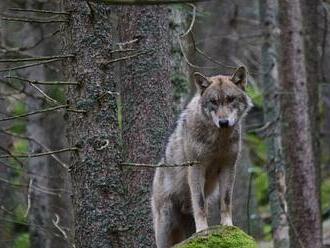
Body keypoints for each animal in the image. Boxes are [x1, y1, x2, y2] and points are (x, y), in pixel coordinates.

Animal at [151, 66, 253, 248]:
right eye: (213, 101)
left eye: (230, 99)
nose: (224, 122)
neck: (218, 139)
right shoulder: (196, 168)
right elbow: (199, 203)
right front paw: (202, 231)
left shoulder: (228, 167)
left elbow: (226, 200)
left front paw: (228, 226)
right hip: (166, 220)